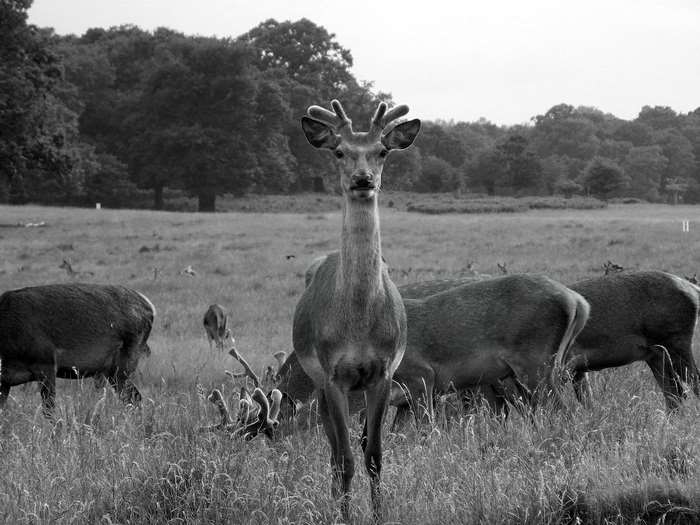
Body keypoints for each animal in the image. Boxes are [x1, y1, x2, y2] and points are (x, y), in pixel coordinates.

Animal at [0, 283, 155, 415]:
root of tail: (151, 309)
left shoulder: (46, 363)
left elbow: (49, 410)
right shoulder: (5, 381)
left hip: (124, 363)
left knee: (133, 397)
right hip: (111, 371)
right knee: (132, 397)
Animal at [295, 99, 420, 521]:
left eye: (381, 151)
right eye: (339, 151)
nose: (363, 179)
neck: (359, 325)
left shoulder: (383, 372)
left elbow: (374, 456)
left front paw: (380, 514)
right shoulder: (333, 373)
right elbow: (346, 459)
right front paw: (344, 515)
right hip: (317, 382)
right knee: (334, 453)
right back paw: (334, 501)